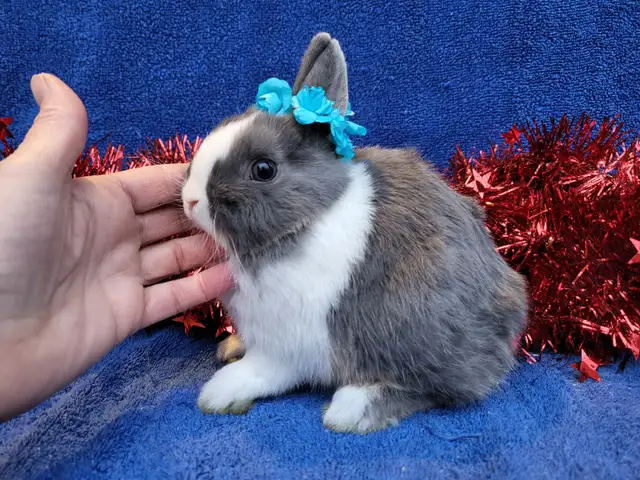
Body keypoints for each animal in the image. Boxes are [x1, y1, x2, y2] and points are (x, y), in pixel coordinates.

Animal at [181, 32, 529, 433]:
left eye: (264, 169)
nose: (190, 200)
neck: (309, 217)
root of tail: (510, 320)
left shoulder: (286, 344)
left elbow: (263, 372)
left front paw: (220, 392)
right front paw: (232, 348)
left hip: (413, 326)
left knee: (449, 386)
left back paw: (352, 408)